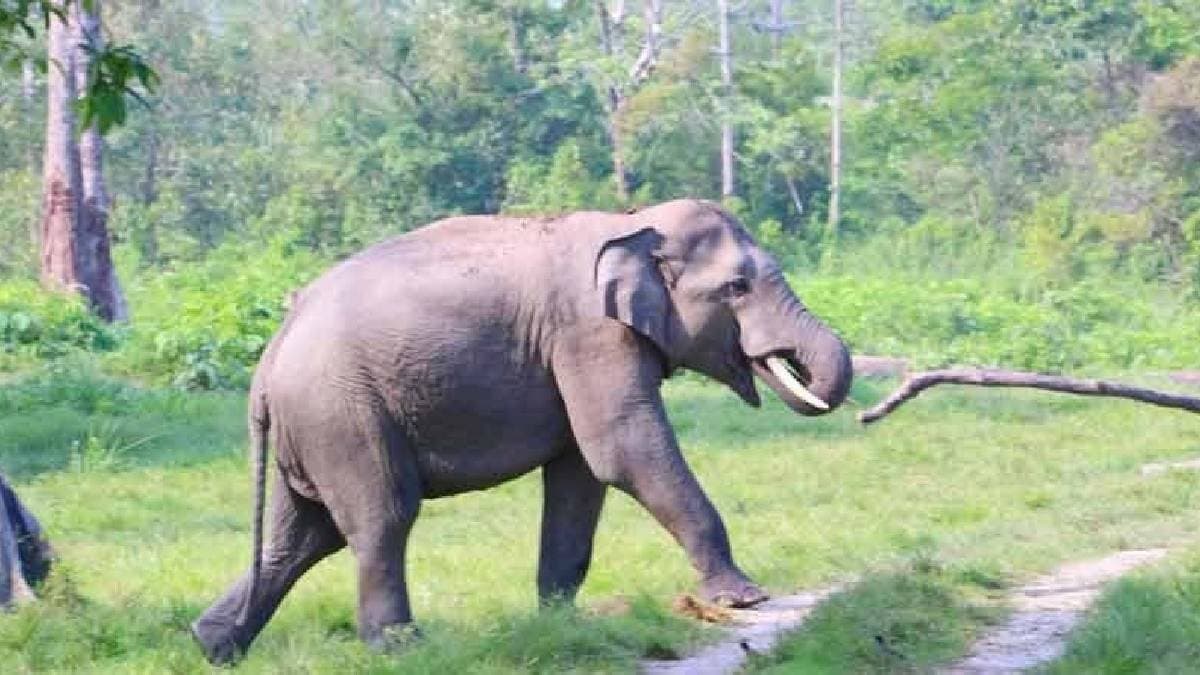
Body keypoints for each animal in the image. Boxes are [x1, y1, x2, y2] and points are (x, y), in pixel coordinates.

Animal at [191, 199, 852, 664]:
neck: (631, 221)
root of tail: (268, 362)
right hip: (341, 414)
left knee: (304, 534)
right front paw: (746, 599)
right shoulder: (588, 333)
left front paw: (559, 624)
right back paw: (402, 647)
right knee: (380, 517)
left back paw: (213, 645)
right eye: (737, 288)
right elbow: (623, 450)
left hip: (314, 426)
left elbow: (581, 476)